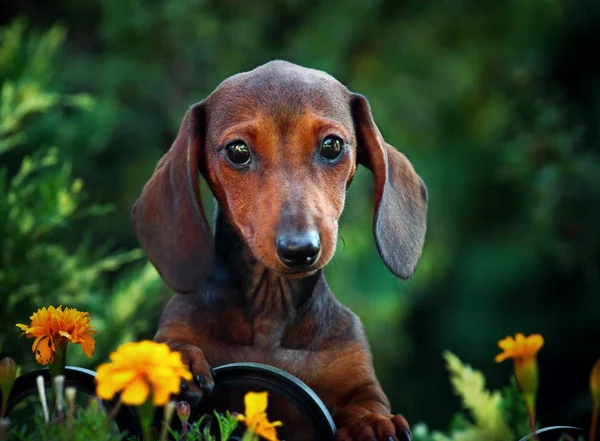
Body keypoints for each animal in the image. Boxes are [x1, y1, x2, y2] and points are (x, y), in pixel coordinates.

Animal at [134, 61, 428, 440]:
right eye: (238, 151)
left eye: (332, 145)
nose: (300, 249)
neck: (270, 308)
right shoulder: (178, 326)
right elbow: (172, 344)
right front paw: (177, 359)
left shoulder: (361, 382)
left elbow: (366, 405)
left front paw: (374, 424)